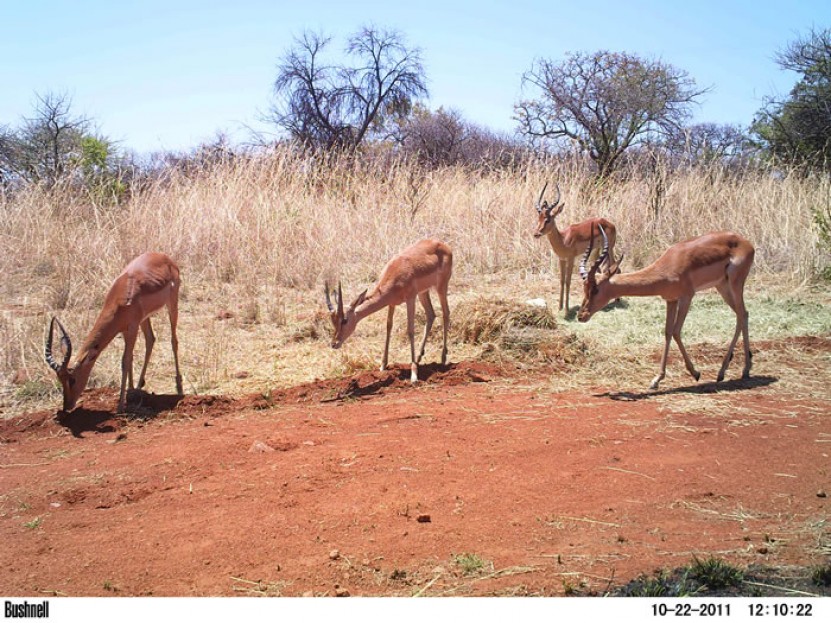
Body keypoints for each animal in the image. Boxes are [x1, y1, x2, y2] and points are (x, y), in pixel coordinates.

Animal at [44, 252, 183, 413]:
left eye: (72, 379)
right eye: (59, 379)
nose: (67, 406)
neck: (119, 298)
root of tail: (164, 257)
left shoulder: (132, 327)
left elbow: (125, 361)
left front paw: (120, 406)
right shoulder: (124, 330)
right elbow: (130, 357)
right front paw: (130, 391)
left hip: (172, 304)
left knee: (174, 341)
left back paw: (179, 386)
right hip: (145, 319)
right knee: (151, 339)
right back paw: (139, 386)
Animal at [325, 239, 452, 384]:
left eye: (344, 320)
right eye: (332, 321)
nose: (334, 343)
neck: (396, 274)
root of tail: (443, 245)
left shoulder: (410, 299)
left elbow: (410, 330)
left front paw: (414, 375)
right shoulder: (391, 303)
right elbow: (388, 327)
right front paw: (383, 366)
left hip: (440, 287)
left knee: (446, 313)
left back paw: (443, 358)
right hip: (423, 292)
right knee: (431, 315)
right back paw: (419, 357)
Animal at [533, 182, 618, 315]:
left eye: (548, 219)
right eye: (539, 218)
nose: (536, 233)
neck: (563, 239)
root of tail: (609, 223)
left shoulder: (571, 259)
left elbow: (568, 281)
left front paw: (567, 309)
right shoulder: (561, 259)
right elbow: (562, 281)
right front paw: (560, 307)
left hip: (610, 248)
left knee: (615, 266)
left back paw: (617, 300)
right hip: (596, 251)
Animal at [577, 226, 755, 390]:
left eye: (595, 289)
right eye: (585, 288)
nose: (581, 315)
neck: (667, 267)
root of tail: (746, 243)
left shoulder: (687, 297)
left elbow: (676, 331)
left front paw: (695, 373)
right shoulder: (671, 300)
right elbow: (668, 332)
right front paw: (656, 380)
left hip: (735, 283)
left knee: (742, 314)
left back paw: (741, 370)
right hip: (722, 286)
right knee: (743, 314)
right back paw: (727, 371)